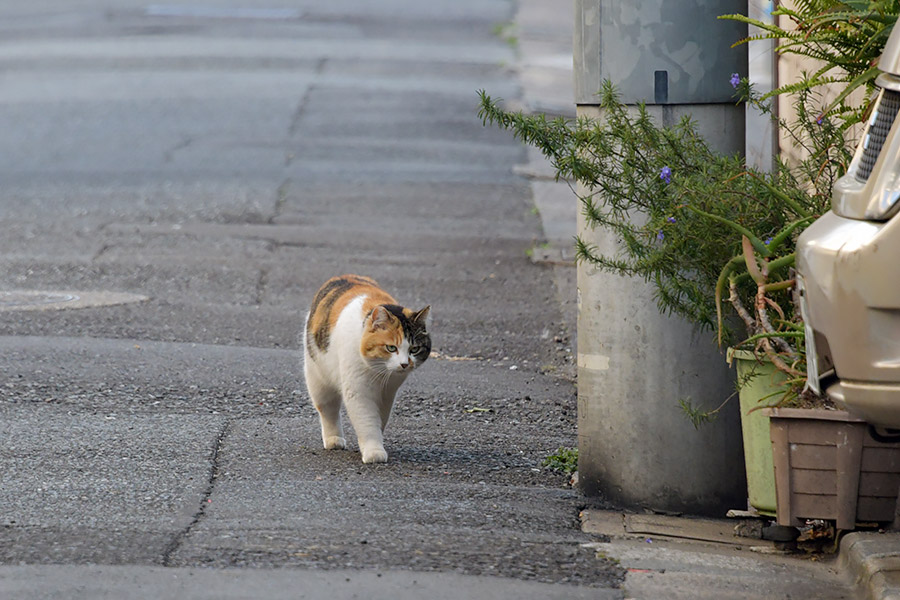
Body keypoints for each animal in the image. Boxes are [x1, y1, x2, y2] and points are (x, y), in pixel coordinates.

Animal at [302, 276, 432, 464]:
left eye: (414, 349)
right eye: (391, 348)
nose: (404, 364)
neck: (377, 371)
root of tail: (341, 277)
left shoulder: (388, 393)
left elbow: (380, 418)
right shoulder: (358, 391)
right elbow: (366, 420)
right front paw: (373, 451)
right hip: (318, 379)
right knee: (328, 410)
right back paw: (334, 439)